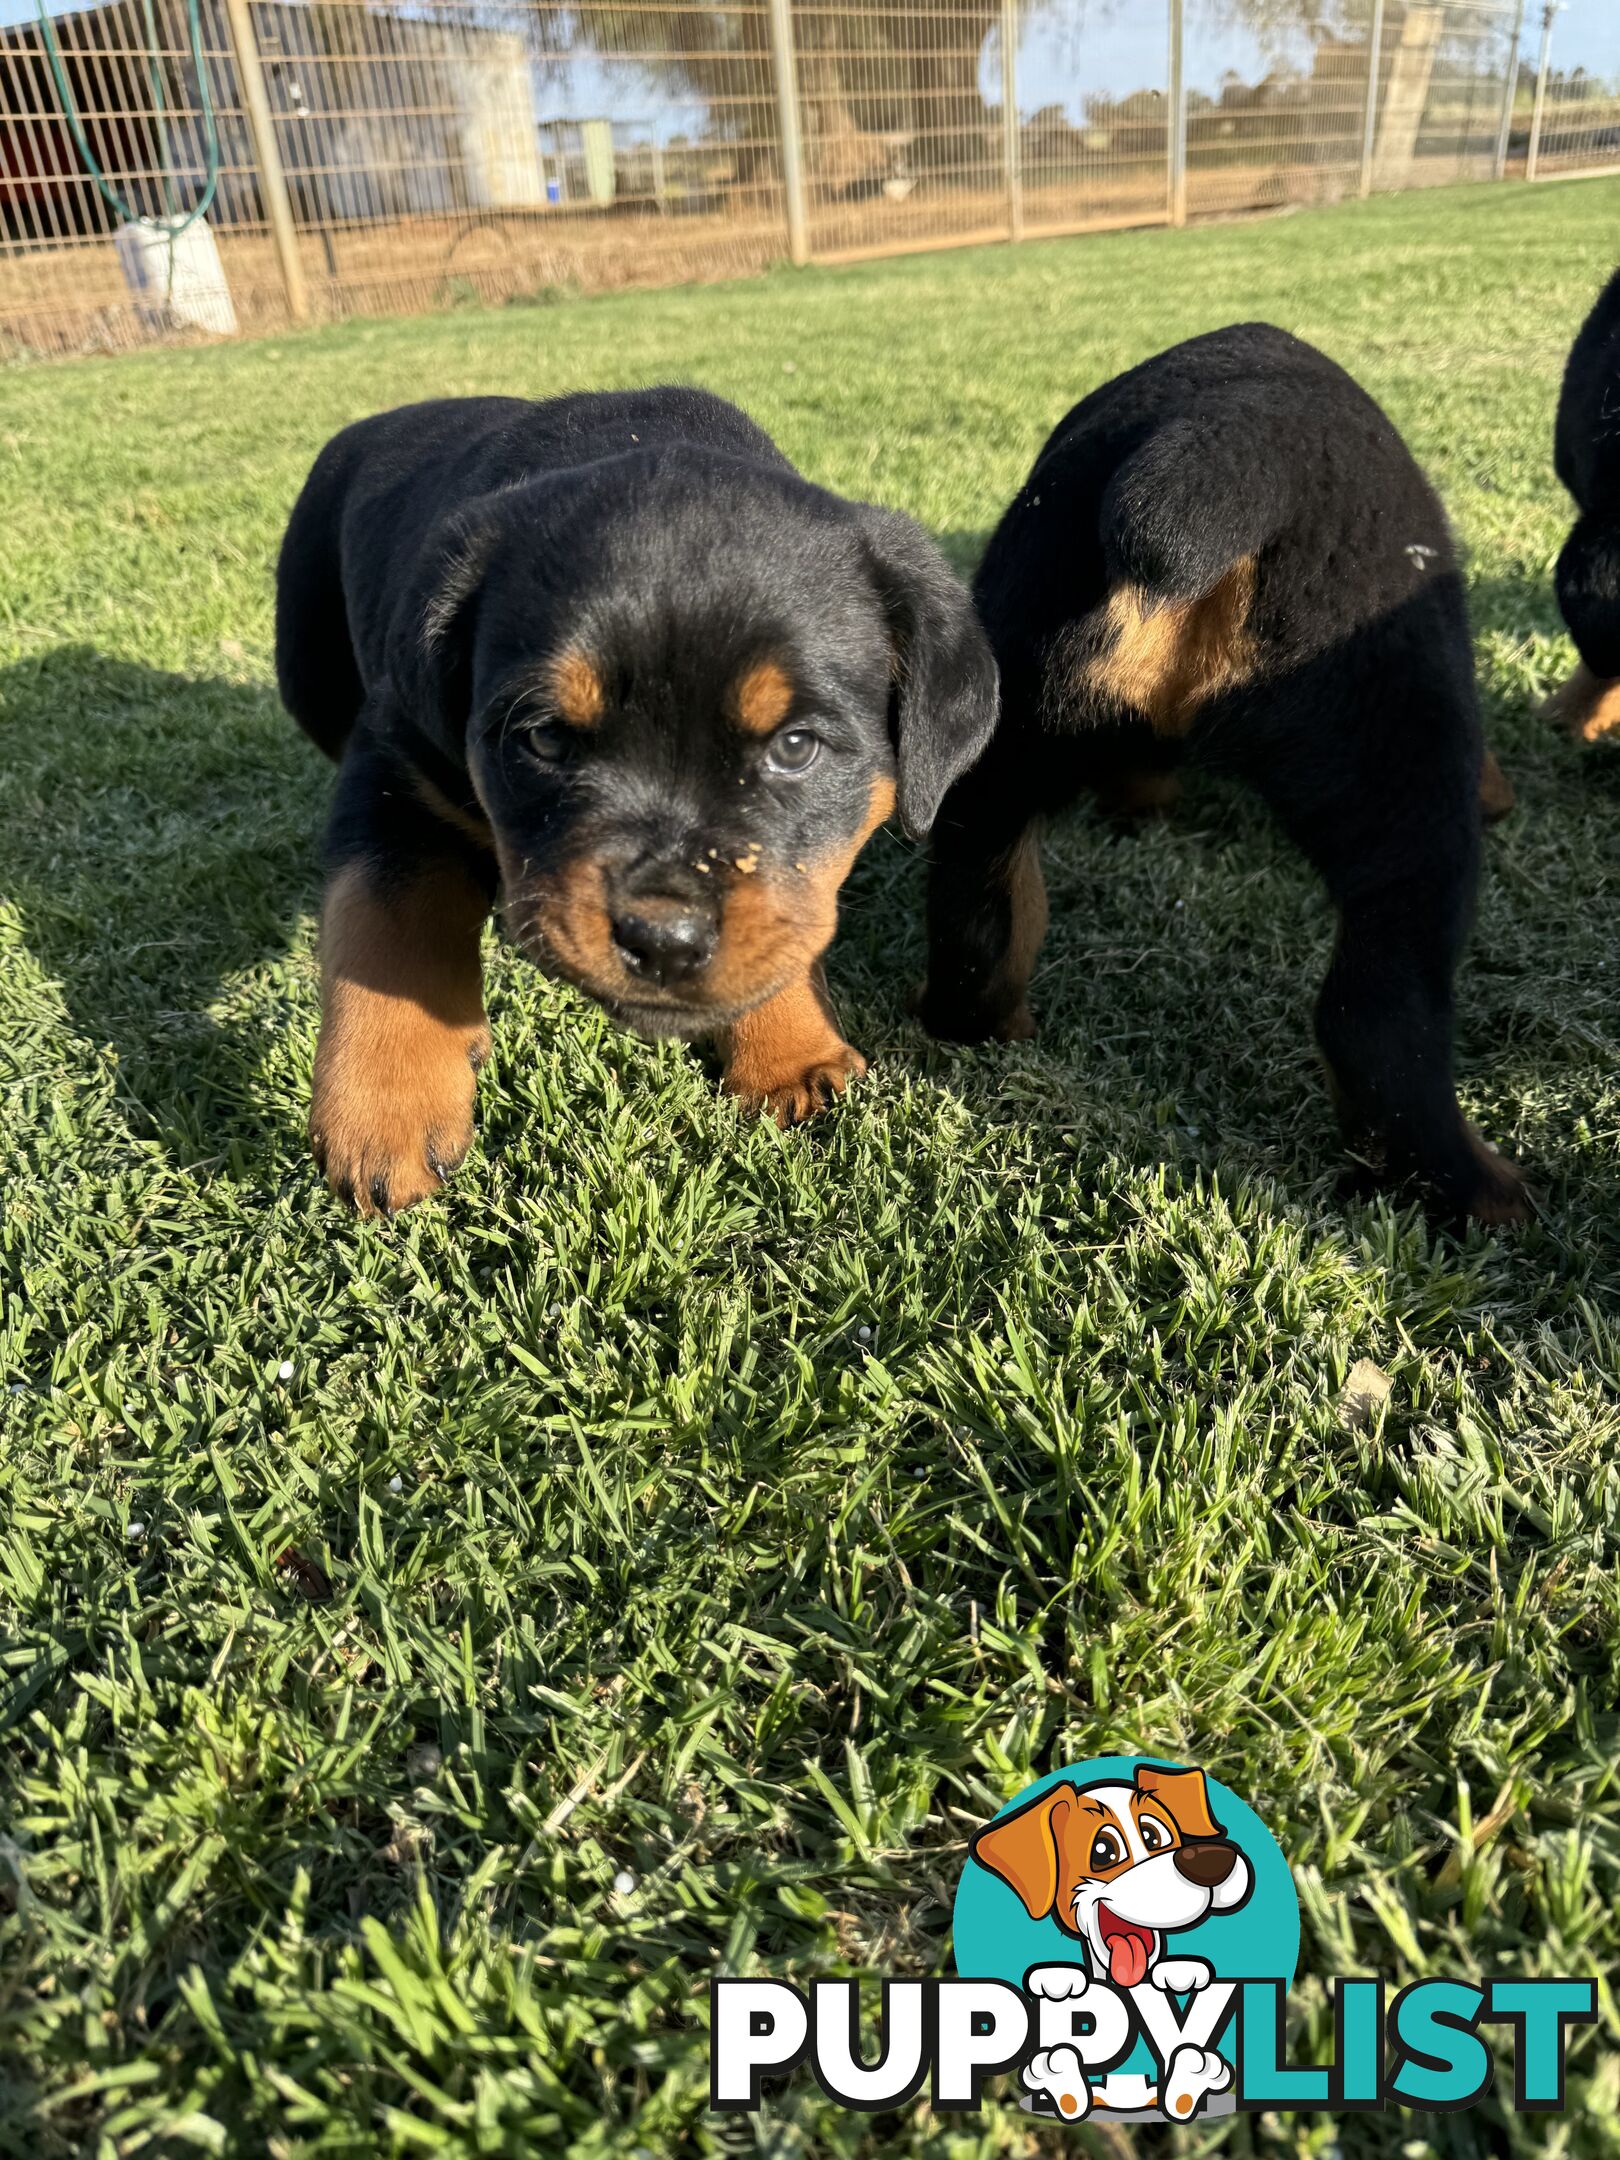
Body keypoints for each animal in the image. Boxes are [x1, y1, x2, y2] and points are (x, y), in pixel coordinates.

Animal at [273, 388, 997, 1218]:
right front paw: (383, 1112)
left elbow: (785, 919)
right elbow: (384, 919)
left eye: (795, 747)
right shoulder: (393, 758)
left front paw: (790, 1053)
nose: (662, 940)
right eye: (546, 738)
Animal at [920, 326, 1529, 1226]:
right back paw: (1482, 1192)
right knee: (1378, 1017)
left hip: (997, 746)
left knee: (981, 916)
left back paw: (982, 1027)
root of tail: (1239, 430)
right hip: (1404, 765)